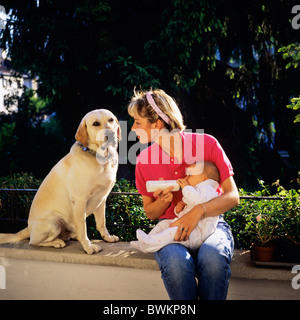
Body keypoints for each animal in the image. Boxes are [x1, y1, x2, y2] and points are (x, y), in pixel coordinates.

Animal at [0, 110, 120, 255]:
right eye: (95, 123)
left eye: (111, 120)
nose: (111, 134)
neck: (101, 157)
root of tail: (28, 227)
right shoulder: (79, 201)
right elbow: (83, 227)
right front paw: (88, 247)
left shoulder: (102, 199)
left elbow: (102, 222)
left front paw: (107, 237)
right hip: (54, 223)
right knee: (34, 242)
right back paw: (57, 242)